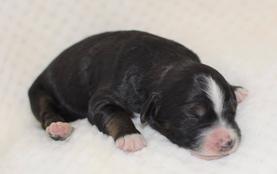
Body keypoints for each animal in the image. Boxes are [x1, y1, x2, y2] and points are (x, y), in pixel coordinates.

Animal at [29, 30, 247, 160]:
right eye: (193, 115)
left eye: (232, 111)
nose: (228, 142)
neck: (167, 64)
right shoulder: (103, 98)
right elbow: (115, 114)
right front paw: (130, 137)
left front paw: (236, 89)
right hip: (40, 92)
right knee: (45, 110)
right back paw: (58, 127)